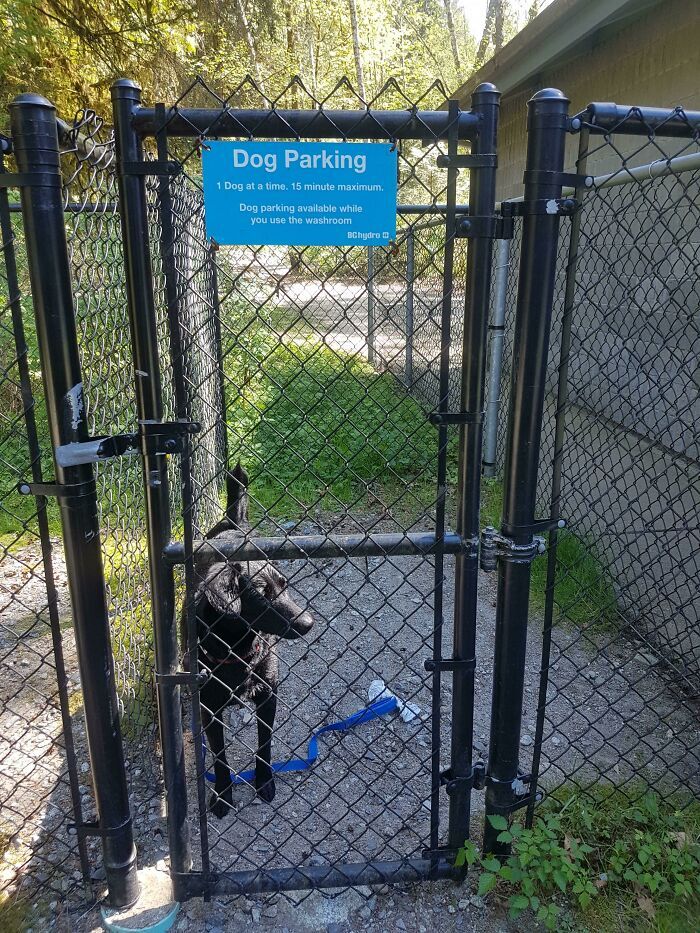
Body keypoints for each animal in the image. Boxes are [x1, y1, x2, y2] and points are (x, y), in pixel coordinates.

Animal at [190, 466, 314, 816]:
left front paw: (264, 780)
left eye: (285, 585)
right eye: (261, 595)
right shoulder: (209, 708)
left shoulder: (268, 695)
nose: (308, 623)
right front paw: (222, 794)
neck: (238, 651)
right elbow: (219, 756)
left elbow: (265, 743)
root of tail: (234, 523)